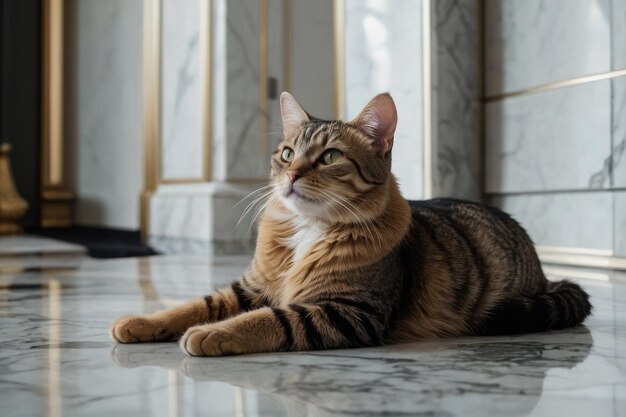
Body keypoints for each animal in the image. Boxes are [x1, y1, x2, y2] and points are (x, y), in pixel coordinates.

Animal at [111, 91, 588, 354]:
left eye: (329, 157)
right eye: (287, 153)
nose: (291, 174)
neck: (308, 229)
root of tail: (544, 272)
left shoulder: (346, 311)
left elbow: (266, 320)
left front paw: (208, 335)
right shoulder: (250, 287)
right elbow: (194, 305)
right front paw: (140, 323)